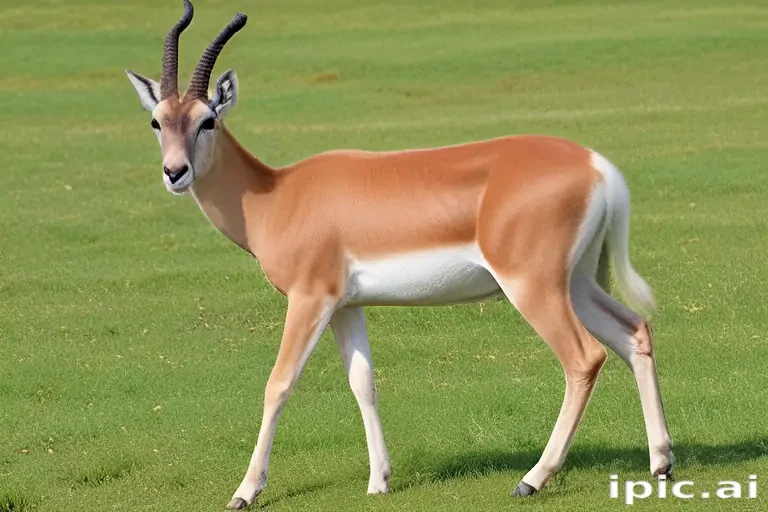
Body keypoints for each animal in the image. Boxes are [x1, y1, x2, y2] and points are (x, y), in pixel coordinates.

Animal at [125, 1, 674, 509]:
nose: (175, 172)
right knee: (635, 333)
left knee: (585, 357)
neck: (276, 196)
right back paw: (661, 462)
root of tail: (596, 165)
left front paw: (244, 491)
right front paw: (379, 481)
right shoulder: (346, 307)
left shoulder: (309, 299)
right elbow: (363, 383)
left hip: (533, 287)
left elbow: (278, 383)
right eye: (157, 121)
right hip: (577, 282)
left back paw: (532, 479)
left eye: (207, 121)